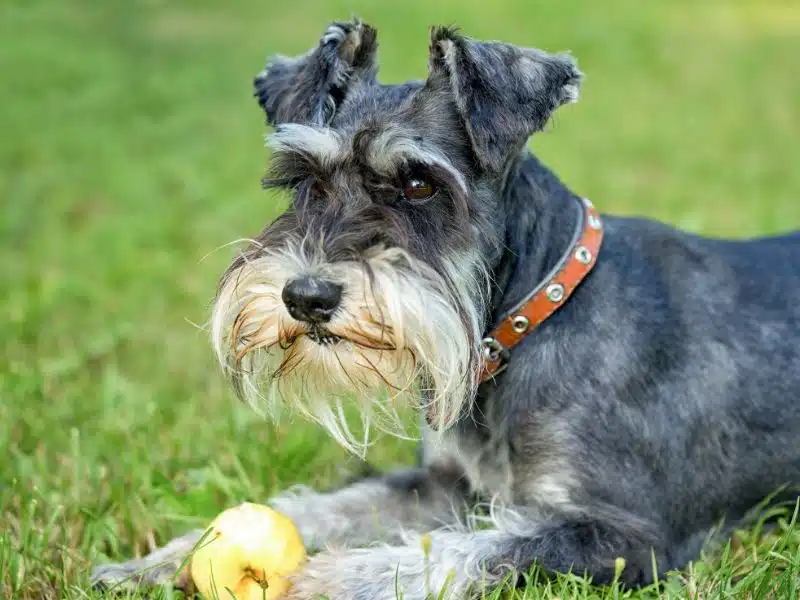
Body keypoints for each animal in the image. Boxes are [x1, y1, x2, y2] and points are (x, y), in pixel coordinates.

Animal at [89, 16, 800, 596]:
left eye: (417, 182)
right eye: (305, 178)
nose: (306, 296)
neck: (530, 320)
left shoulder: (625, 535)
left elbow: (469, 551)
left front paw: (336, 577)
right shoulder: (441, 484)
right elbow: (325, 507)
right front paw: (168, 558)